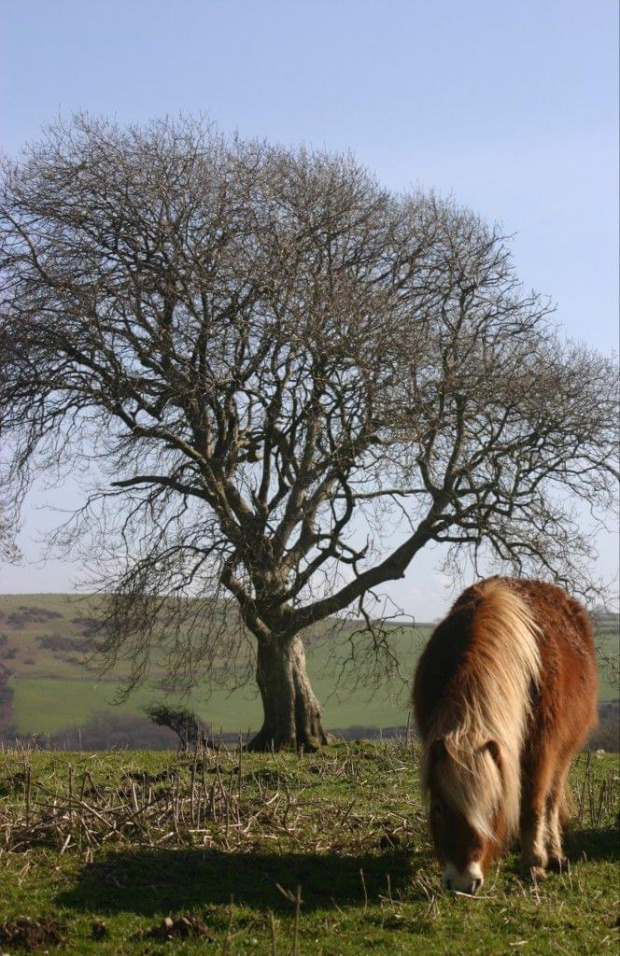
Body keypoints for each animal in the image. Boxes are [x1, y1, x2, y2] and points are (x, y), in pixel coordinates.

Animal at [414, 576, 600, 896]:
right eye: (438, 807)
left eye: (491, 808)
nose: (463, 883)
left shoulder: (540, 751)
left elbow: (533, 806)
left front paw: (534, 864)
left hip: (563, 753)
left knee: (551, 801)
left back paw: (554, 854)